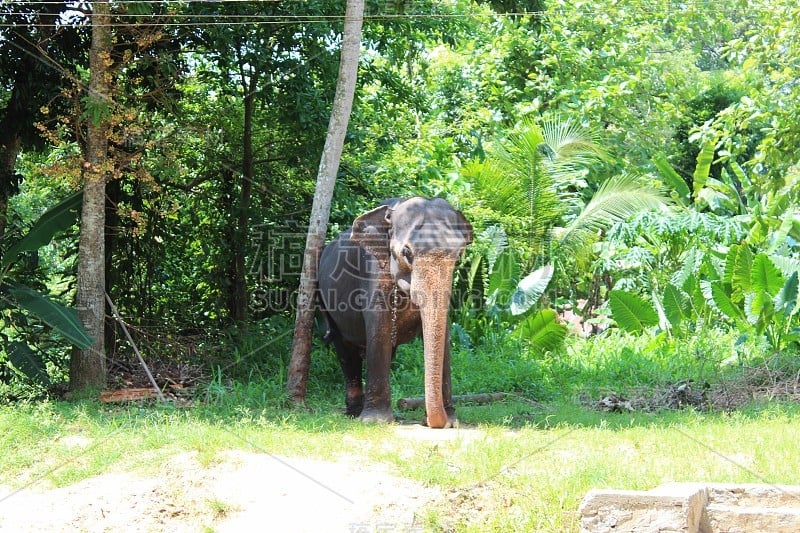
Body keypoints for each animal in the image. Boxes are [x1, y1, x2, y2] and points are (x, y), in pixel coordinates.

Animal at [318, 196, 472, 428]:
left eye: (459, 254)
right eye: (406, 253)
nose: (433, 422)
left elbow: (443, 335)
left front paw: (451, 423)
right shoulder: (373, 271)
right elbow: (379, 330)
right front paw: (375, 421)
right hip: (326, 305)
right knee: (345, 352)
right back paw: (354, 413)